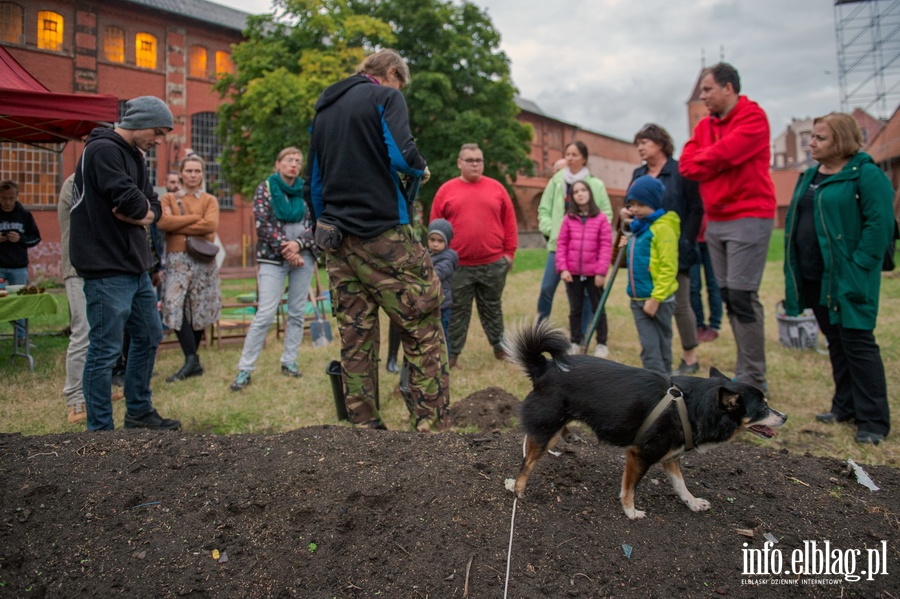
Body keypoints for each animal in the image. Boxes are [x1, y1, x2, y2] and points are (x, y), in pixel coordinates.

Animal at [506, 324, 788, 520]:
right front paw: (630, 511)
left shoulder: (670, 456)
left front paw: (693, 502)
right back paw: (518, 488)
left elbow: (680, 484)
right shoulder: (639, 453)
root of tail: (543, 367)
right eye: (763, 407)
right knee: (527, 462)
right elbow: (630, 487)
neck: (693, 406)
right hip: (547, 427)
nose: (785, 416)